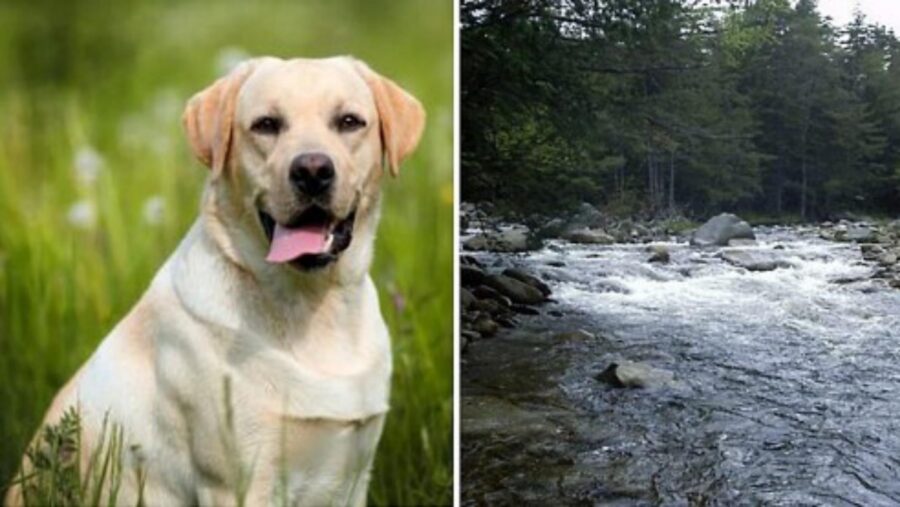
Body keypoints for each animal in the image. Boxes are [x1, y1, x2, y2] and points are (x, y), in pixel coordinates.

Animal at [7, 56, 422, 507]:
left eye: (349, 121)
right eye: (266, 124)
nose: (312, 170)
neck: (313, 306)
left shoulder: (354, 475)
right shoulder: (241, 483)